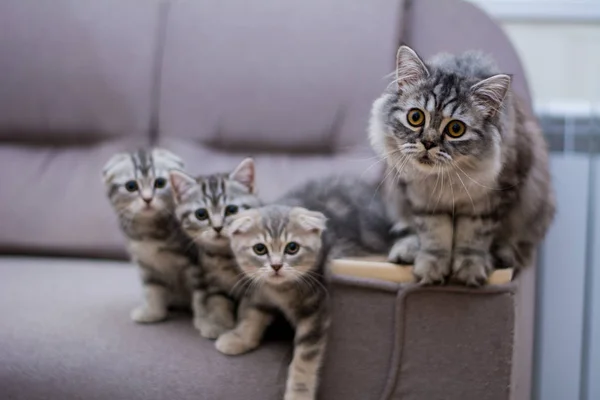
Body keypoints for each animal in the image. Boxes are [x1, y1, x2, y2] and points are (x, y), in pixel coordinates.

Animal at [102, 148, 198, 324]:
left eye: (160, 183)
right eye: (131, 186)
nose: (147, 199)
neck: (149, 231)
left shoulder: (194, 263)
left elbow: (200, 295)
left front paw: (205, 320)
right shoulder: (146, 264)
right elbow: (153, 289)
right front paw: (153, 313)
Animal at [169, 158, 262, 340]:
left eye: (232, 210)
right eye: (201, 214)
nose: (218, 228)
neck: (225, 256)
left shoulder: (253, 285)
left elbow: (247, 310)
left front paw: (238, 335)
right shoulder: (213, 281)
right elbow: (218, 303)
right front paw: (220, 325)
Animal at [218, 205, 330, 400]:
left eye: (292, 248)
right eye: (259, 249)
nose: (276, 266)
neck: (280, 290)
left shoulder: (315, 312)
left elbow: (305, 359)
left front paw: (299, 394)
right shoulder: (260, 293)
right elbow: (252, 316)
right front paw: (239, 339)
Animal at [368, 46, 556, 284]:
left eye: (456, 129)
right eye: (415, 117)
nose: (428, 143)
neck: (446, 179)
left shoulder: (490, 200)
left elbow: (473, 238)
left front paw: (469, 270)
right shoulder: (422, 198)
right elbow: (434, 234)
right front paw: (431, 268)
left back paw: (503, 255)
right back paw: (406, 250)